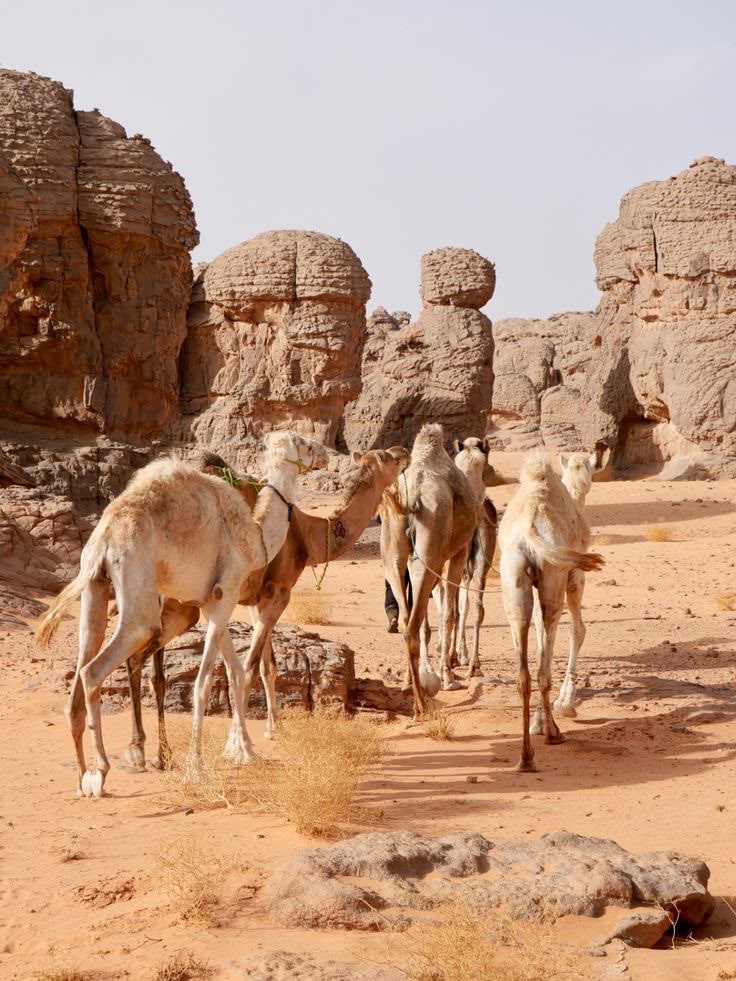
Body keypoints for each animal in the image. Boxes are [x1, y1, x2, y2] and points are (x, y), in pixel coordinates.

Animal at [35, 431, 329, 797]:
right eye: (304, 443)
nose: (325, 453)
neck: (258, 535)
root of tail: (105, 536)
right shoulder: (225, 593)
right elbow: (203, 684)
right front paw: (196, 767)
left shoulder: (209, 603)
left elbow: (236, 673)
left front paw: (245, 751)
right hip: (137, 593)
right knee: (95, 670)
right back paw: (101, 771)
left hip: (95, 588)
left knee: (81, 670)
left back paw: (81, 779)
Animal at [123, 445, 411, 767]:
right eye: (388, 457)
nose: (404, 450)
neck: (306, 535)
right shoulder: (278, 593)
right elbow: (248, 669)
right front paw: (238, 745)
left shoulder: (256, 598)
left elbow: (266, 667)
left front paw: (274, 727)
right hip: (184, 600)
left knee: (148, 668)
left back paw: (159, 754)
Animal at [380, 423, 479, 717]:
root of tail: (408, 499)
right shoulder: (458, 552)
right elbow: (449, 613)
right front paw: (448, 676)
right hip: (430, 545)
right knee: (413, 623)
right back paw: (420, 705)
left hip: (395, 554)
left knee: (406, 618)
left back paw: (410, 686)